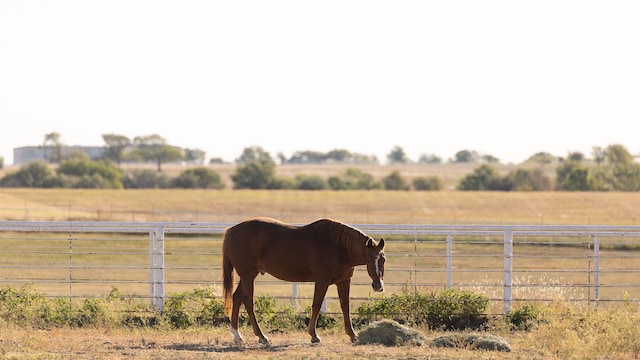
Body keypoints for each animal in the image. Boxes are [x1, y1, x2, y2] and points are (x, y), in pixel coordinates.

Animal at [222, 217, 384, 344]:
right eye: (369, 260)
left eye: (383, 259)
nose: (378, 286)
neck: (338, 246)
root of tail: (231, 230)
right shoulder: (322, 280)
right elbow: (316, 305)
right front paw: (314, 335)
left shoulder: (344, 281)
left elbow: (345, 306)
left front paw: (352, 334)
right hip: (248, 276)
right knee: (248, 302)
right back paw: (262, 337)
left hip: (248, 276)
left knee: (237, 298)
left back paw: (237, 335)